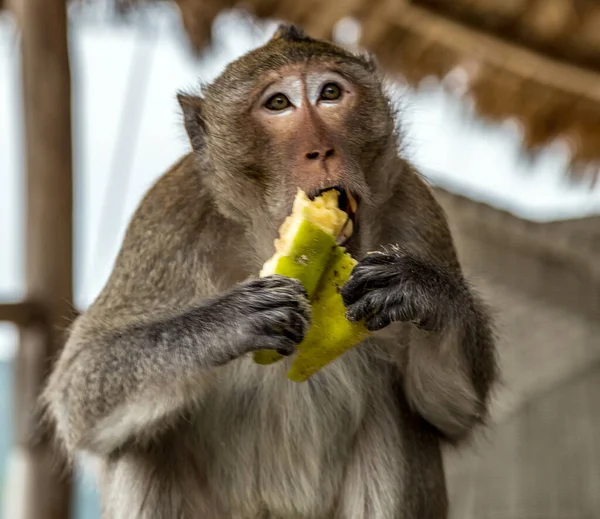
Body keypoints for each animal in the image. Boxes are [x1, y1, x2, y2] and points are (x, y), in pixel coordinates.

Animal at [41, 23, 496, 519]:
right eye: (278, 103)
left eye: (330, 93)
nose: (321, 150)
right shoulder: (166, 219)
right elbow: (81, 386)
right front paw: (224, 323)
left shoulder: (417, 208)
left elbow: (450, 407)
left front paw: (424, 291)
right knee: (136, 443)